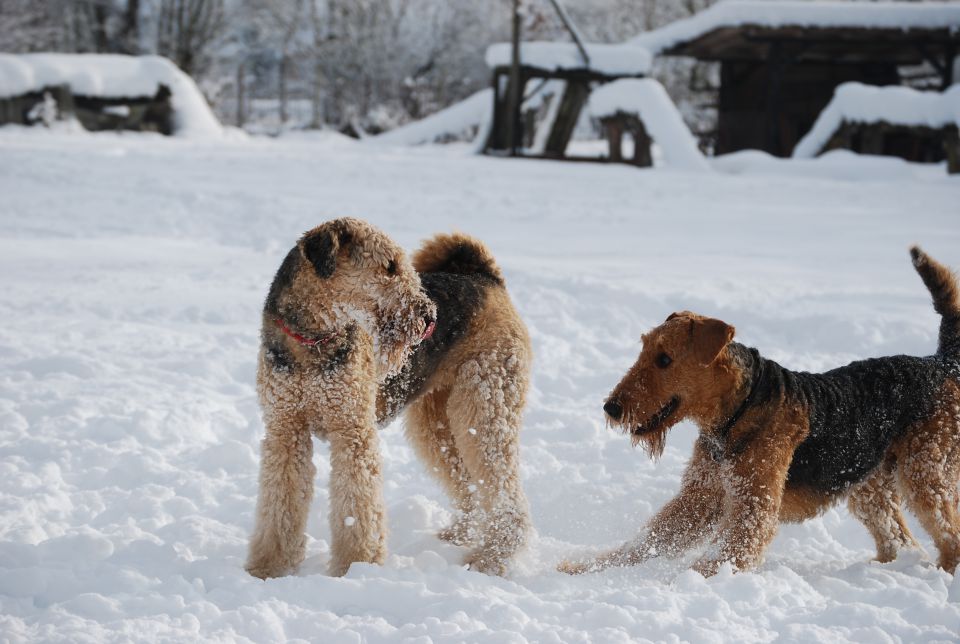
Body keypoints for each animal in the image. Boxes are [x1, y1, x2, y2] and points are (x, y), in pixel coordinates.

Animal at [246, 218, 532, 580]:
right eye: (389, 266)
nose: (429, 317)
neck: (312, 339)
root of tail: (487, 279)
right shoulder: (286, 430)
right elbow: (279, 506)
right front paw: (269, 568)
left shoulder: (353, 432)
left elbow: (357, 507)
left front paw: (356, 566)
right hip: (436, 422)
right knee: (469, 486)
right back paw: (457, 537)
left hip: (484, 406)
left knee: (506, 496)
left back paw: (490, 560)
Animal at [560, 248, 960, 580]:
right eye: (643, 349)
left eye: (664, 359)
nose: (611, 407)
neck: (736, 413)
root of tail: (942, 363)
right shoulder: (700, 497)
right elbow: (641, 543)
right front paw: (582, 566)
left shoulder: (753, 506)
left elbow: (718, 557)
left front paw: (678, 584)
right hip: (869, 487)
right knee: (900, 539)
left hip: (925, 473)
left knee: (948, 534)